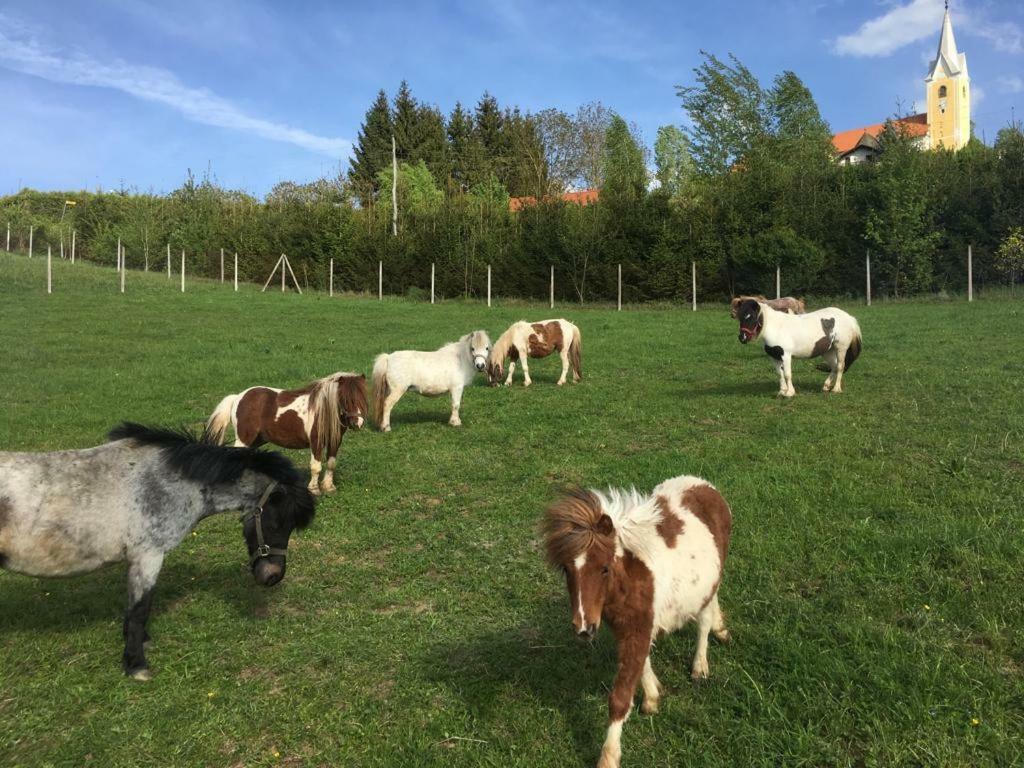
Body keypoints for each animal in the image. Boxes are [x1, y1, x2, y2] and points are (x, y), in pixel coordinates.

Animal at [0, 423, 315, 684]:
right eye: (277, 522)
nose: (273, 576)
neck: (165, 482)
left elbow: (133, 609)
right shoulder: (148, 557)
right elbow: (141, 609)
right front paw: (136, 665)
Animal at [204, 374, 368, 495]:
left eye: (363, 397)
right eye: (345, 398)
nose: (358, 423)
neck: (324, 411)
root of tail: (238, 397)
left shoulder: (335, 441)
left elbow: (331, 464)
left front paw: (329, 487)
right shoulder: (316, 442)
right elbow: (316, 466)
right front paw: (314, 489)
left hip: (258, 439)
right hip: (244, 439)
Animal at [540, 475, 733, 768]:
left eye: (604, 568)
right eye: (566, 569)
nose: (584, 628)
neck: (629, 579)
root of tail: (702, 484)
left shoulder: (637, 629)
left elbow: (620, 696)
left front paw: (608, 757)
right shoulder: (626, 629)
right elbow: (642, 663)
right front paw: (653, 697)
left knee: (703, 622)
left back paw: (700, 667)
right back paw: (720, 630)